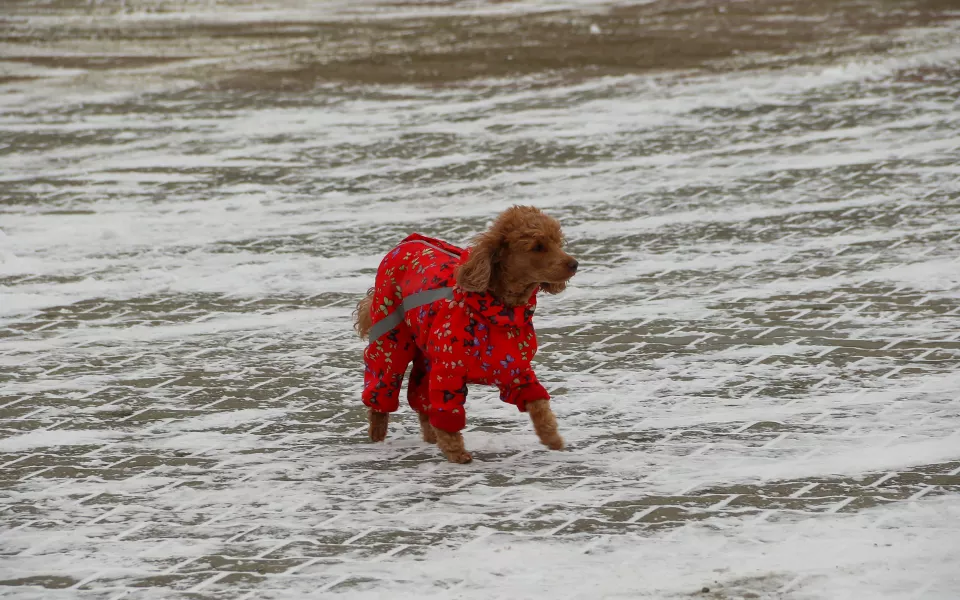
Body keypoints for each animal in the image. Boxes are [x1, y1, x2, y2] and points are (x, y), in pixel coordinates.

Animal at [354, 206, 572, 464]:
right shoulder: (448, 372)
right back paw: (378, 432)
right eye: (538, 246)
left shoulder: (515, 369)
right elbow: (448, 414)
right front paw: (456, 453)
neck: (498, 314)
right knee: (383, 380)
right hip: (391, 339)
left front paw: (552, 438)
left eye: (558, 241)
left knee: (422, 398)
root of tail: (403, 245)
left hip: (426, 356)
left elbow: (539, 405)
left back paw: (431, 437)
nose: (575, 264)